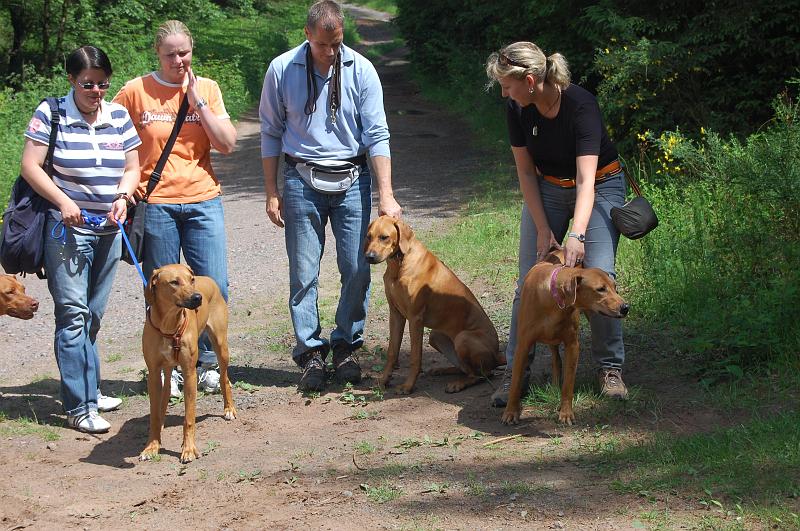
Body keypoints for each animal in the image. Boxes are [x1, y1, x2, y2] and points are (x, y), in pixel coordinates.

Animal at [141, 264, 236, 464]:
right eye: (174, 282)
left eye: (191, 280)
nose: (197, 297)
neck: (169, 325)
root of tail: (207, 278)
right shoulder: (153, 373)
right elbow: (154, 414)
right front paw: (152, 446)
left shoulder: (189, 372)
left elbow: (189, 417)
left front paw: (189, 449)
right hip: (167, 367)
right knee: (166, 390)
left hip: (221, 345)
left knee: (224, 379)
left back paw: (229, 409)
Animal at [366, 216, 504, 394]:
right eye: (369, 236)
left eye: (384, 237)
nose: (369, 257)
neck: (400, 263)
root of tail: (498, 355)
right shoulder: (395, 314)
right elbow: (392, 352)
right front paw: (383, 380)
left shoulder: (415, 318)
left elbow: (415, 357)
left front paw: (408, 386)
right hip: (436, 336)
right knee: (465, 369)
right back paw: (443, 370)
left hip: (463, 338)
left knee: (484, 374)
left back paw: (458, 384)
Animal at [500, 251, 632, 426]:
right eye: (600, 289)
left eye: (615, 287)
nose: (625, 308)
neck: (554, 299)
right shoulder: (523, 344)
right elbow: (515, 383)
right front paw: (510, 412)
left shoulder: (572, 345)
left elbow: (568, 384)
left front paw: (566, 413)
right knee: (555, 358)